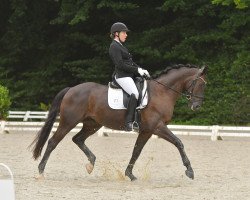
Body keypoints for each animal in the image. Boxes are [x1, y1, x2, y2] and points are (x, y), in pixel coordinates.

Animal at [30, 64, 207, 181]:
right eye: (199, 84)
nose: (197, 106)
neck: (162, 92)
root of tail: (71, 89)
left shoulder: (147, 130)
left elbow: (136, 151)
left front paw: (130, 174)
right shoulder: (157, 127)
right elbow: (179, 142)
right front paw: (190, 171)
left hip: (92, 124)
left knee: (77, 139)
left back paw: (91, 163)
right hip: (68, 122)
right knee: (53, 142)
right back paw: (40, 171)